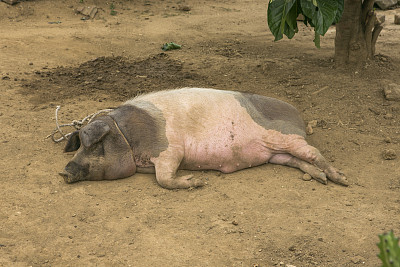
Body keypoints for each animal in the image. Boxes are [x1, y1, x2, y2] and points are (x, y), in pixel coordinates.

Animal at [57, 88, 348, 188]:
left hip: (285, 139)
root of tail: (299, 117)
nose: (64, 171)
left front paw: (196, 182)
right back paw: (321, 179)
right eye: (79, 145)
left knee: (312, 153)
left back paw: (341, 179)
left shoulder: (169, 150)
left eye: (95, 144)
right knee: (299, 161)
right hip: (277, 155)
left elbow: (163, 179)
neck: (127, 135)